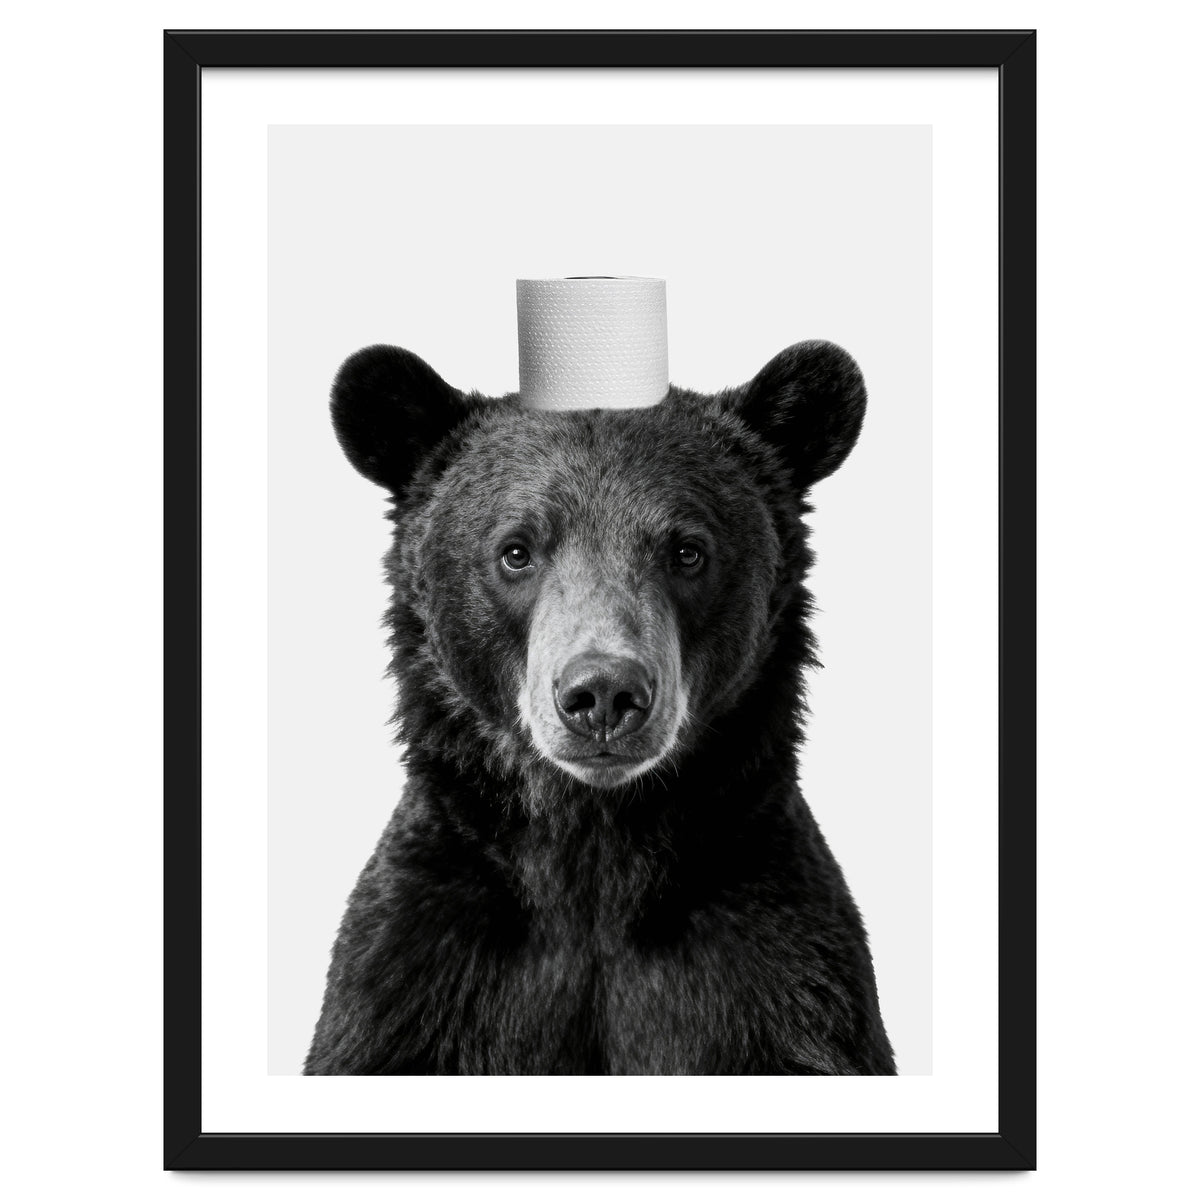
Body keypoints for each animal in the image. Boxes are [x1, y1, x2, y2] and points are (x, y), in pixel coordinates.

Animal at [304, 339, 896, 1076]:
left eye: (687, 551)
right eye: (516, 551)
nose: (604, 694)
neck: (595, 849)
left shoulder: (779, 971)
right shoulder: (418, 972)